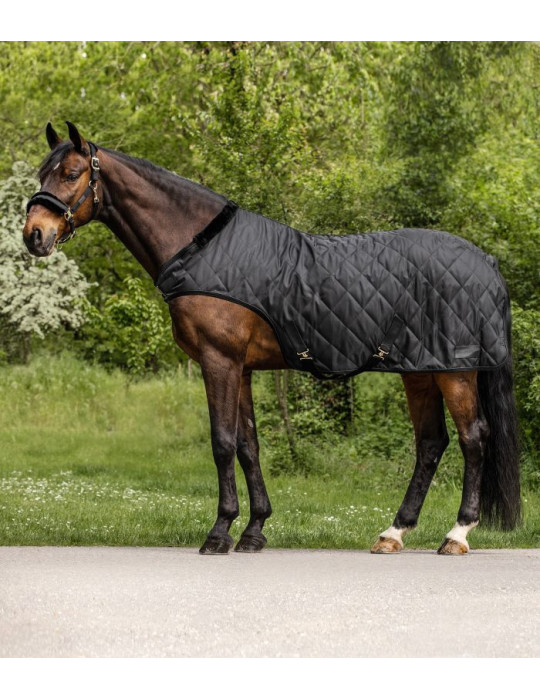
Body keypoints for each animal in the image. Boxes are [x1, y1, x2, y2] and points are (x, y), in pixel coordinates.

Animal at [23, 122, 521, 556]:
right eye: (41, 173)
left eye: (71, 174)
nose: (34, 236)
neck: (200, 247)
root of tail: (486, 262)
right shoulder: (239, 367)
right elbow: (249, 446)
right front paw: (254, 530)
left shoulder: (219, 360)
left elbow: (223, 442)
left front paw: (219, 533)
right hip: (419, 370)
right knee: (431, 444)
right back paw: (393, 533)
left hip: (455, 371)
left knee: (473, 438)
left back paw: (457, 534)